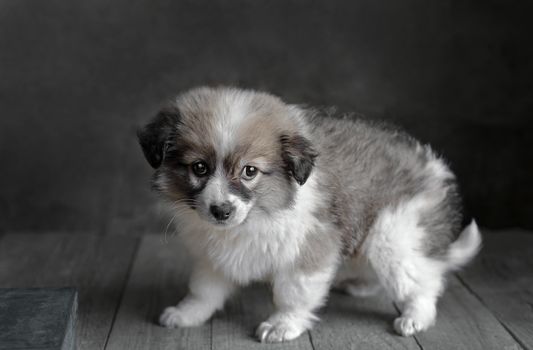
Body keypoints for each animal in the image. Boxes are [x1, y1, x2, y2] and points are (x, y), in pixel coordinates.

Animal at [136, 86, 478, 344]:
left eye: (250, 171)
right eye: (199, 168)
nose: (221, 211)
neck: (258, 214)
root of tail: (434, 169)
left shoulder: (309, 247)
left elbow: (293, 294)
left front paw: (282, 324)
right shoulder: (214, 255)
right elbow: (203, 289)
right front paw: (187, 313)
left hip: (393, 236)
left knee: (422, 281)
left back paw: (415, 316)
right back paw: (362, 285)